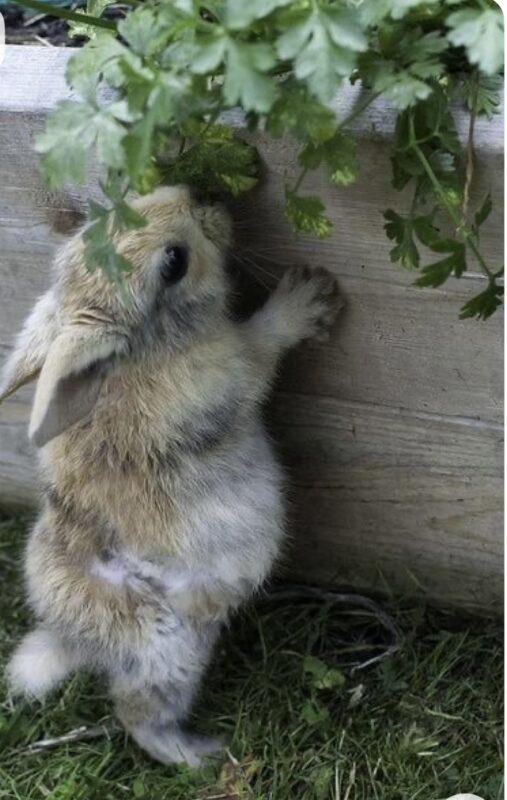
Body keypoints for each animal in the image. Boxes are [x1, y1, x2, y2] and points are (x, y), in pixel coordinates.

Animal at [0, 185, 342, 766]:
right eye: (174, 262)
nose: (199, 196)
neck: (150, 346)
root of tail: (76, 640)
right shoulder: (235, 367)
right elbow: (263, 343)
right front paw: (308, 297)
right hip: (167, 653)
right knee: (137, 714)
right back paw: (202, 756)